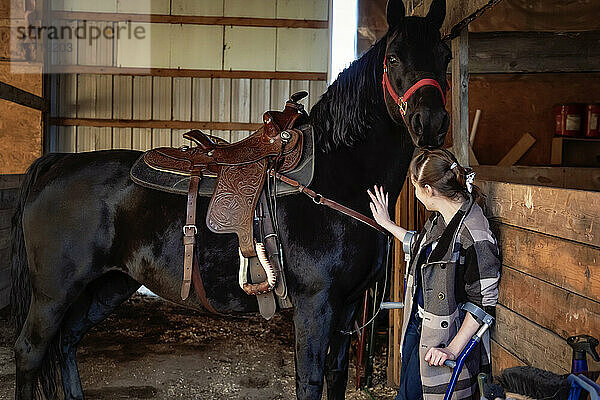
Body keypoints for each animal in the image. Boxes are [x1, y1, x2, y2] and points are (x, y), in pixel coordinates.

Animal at [10, 1, 450, 398]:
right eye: (393, 57)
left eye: (444, 56)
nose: (430, 122)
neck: (337, 178)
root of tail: (56, 164)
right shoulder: (316, 306)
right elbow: (309, 381)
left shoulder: (347, 306)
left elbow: (336, 375)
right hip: (54, 293)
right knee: (30, 351)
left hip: (110, 285)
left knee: (67, 342)